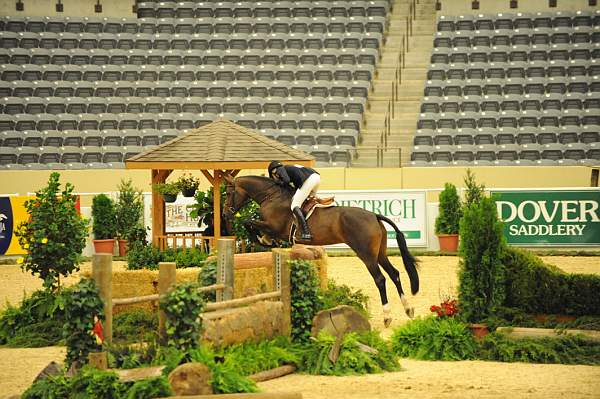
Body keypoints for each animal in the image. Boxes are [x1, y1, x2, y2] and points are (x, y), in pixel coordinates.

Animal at [223, 177, 420, 326]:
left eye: (229, 193)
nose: (225, 214)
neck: (272, 197)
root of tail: (374, 215)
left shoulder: (274, 226)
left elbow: (248, 222)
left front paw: (263, 240)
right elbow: (251, 223)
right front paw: (265, 240)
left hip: (366, 254)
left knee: (380, 279)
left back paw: (387, 316)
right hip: (379, 253)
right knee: (394, 274)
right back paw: (408, 309)